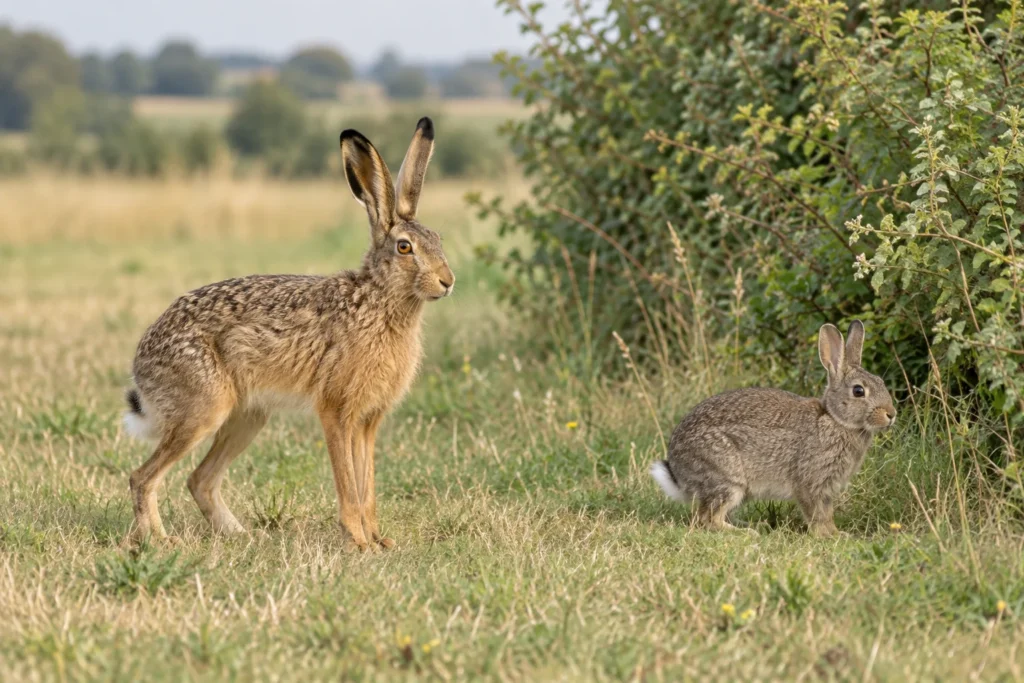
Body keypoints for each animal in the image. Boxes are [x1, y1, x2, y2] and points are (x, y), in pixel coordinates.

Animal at [122, 117, 453, 550]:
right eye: (404, 247)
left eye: (438, 240)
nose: (448, 282)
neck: (379, 301)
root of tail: (141, 361)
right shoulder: (335, 411)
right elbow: (348, 484)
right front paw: (358, 541)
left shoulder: (368, 420)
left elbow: (367, 485)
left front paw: (379, 542)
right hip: (203, 409)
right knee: (143, 478)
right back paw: (162, 542)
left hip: (248, 417)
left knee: (199, 480)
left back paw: (239, 535)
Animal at [650, 321, 895, 536]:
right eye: (858, 391)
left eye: (881, 382)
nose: (891, 414)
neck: (835, 419)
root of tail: (677, 471)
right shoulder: (810, 483)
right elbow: (817, 514)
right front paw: (826, 536)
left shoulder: (826, 490)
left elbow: (828, 514)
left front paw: (838, 534)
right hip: (726, 478)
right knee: (707, 518)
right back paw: (746, 532)